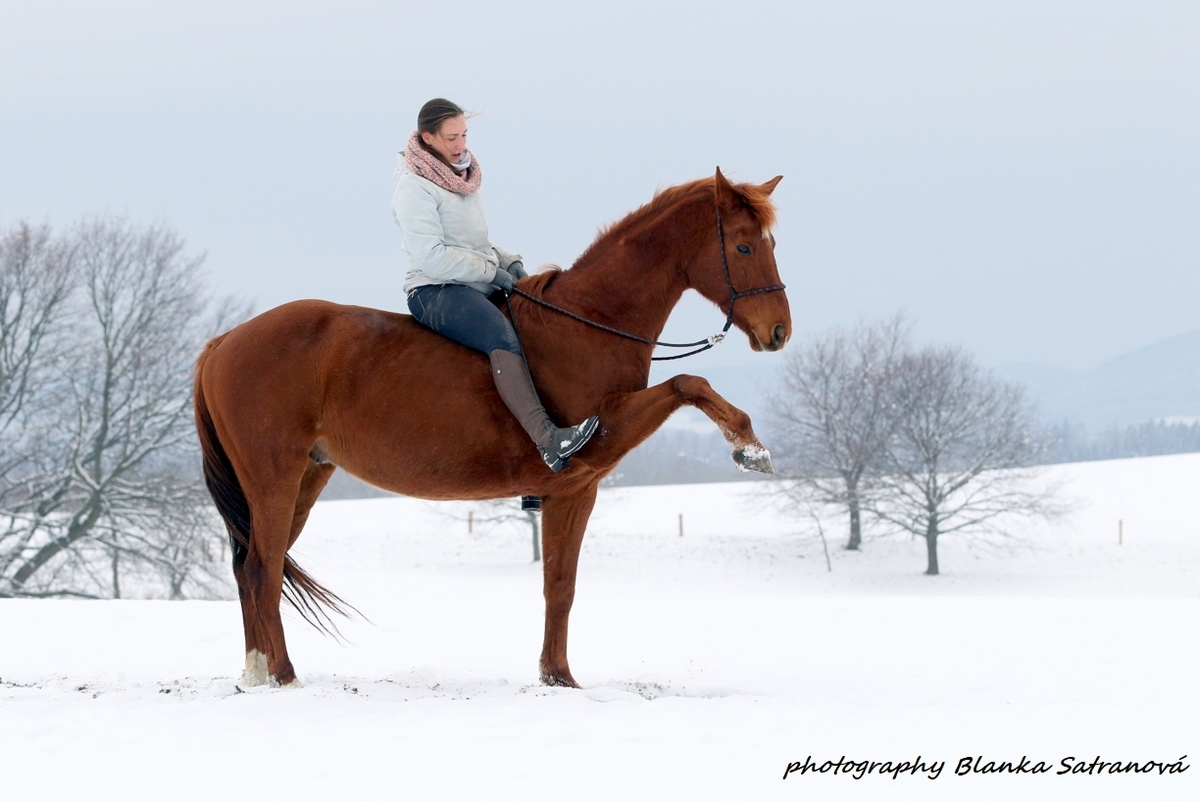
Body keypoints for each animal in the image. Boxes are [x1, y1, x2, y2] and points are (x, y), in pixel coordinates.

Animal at [192, 165, 792, 685]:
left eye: (770, 245)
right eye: (743, 247)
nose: (779, 331)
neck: (590, 324)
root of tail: (223, 343)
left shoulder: (577, 490)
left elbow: (560, 586)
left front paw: (558, 677)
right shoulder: (600, 440)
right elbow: (689, 382)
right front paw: (749, 445)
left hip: (306, 478)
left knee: (250, 568)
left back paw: (256, 673)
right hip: (274, 479)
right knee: (264, 569)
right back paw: (283, 675)